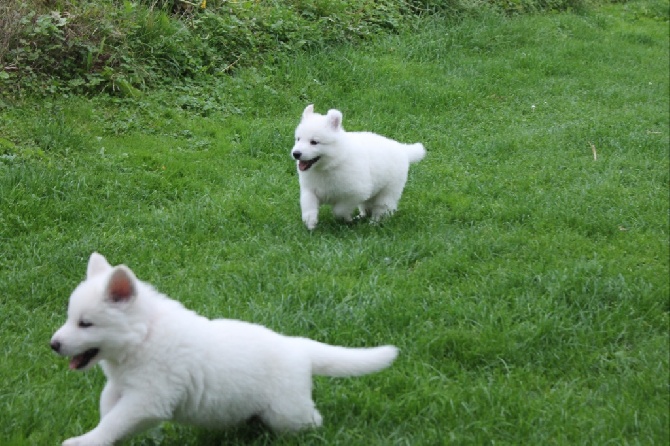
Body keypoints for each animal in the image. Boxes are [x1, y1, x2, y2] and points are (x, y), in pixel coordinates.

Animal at [53, 253, 400, 444]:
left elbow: (114, 420)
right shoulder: (120, 388)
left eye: (85, 324)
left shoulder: (149, 398)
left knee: (312, 421)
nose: (53, 344)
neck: (144, 336)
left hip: (287, 411)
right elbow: (108, 410)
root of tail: (298, 347)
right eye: (70, 318)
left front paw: (86, 440)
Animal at [292, 104, 428, 230]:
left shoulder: (355, 193)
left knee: (381, 208)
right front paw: (310, 222)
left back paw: (374, 223)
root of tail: (402, 149)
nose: (296, 153)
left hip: (388, 191)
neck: (330, 165)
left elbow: (339, 209)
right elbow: (308, 205)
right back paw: (361, 217)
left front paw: (346, 219)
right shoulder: (309, 189)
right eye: (298, 139)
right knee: (366, 207)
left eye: (314, 142)